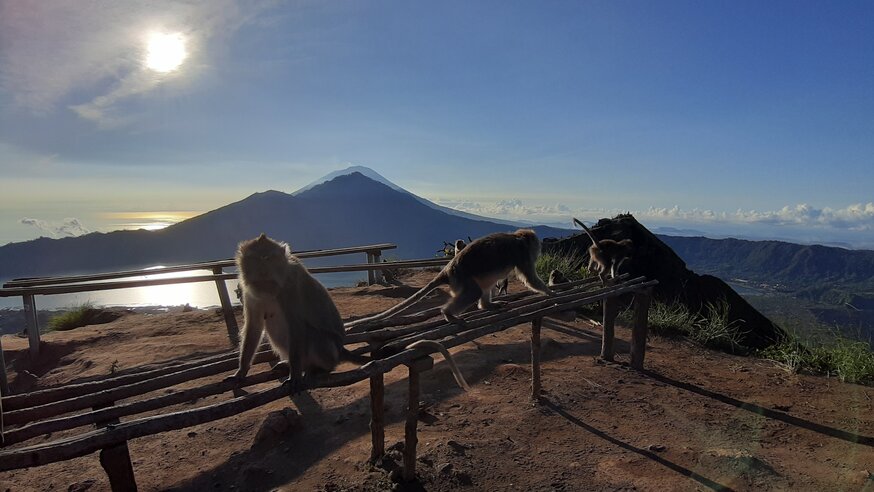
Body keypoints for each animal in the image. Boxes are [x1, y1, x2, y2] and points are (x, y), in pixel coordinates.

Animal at [344, 230, 548, 328]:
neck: (517, 238)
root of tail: (448, 270)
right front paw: (549, 291)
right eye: (536, 246)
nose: (539, 249)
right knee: (473, 291)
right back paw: (448, 314)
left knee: (484, 284)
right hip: (461, 278)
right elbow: (530, 278)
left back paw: (486, 306)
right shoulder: (522, 254)